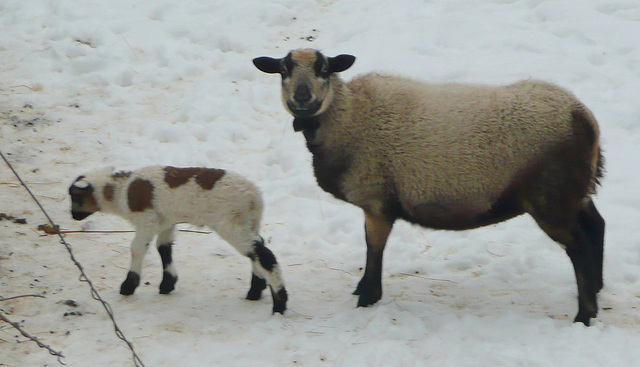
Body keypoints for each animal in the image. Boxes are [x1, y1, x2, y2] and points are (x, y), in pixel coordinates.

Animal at [68, 166, 288, 314]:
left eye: (75, 197)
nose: (73, 216)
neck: (121, 190)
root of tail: (254, 198)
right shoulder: (167, 220)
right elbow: (163, 247)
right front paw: (167, 283)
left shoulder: (146, 219)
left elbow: (137, 248)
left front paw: (128, 286)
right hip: (249, 222)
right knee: (258, 249)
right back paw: (256, 291)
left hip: (231, 222)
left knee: (263, 255)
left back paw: (280, 303)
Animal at [254, 48, 604, 324]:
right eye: (283, 70)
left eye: (323, 69)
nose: (302, 98)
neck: (349, 116)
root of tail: (583, 117)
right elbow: (370, 248)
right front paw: (363, 290)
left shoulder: (377, 200)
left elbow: (374, 249)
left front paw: (368, 297)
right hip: (576, 191)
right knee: (596, 227)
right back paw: (598, 288)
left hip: (550, 197)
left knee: (579, 246)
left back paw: (585, 314)